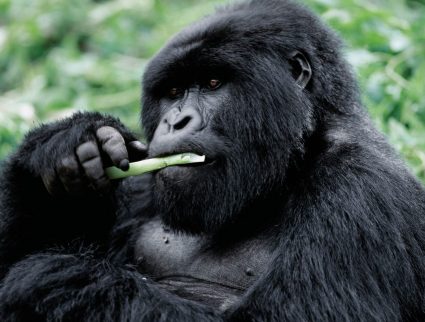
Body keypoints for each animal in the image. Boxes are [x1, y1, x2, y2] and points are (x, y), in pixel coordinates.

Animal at [0, 0, 424, 320]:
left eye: (213, 83)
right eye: (173, 92)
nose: (175, 122)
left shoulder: (361, 189)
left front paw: (52, 280)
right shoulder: (139, 177)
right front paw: (62, 147)